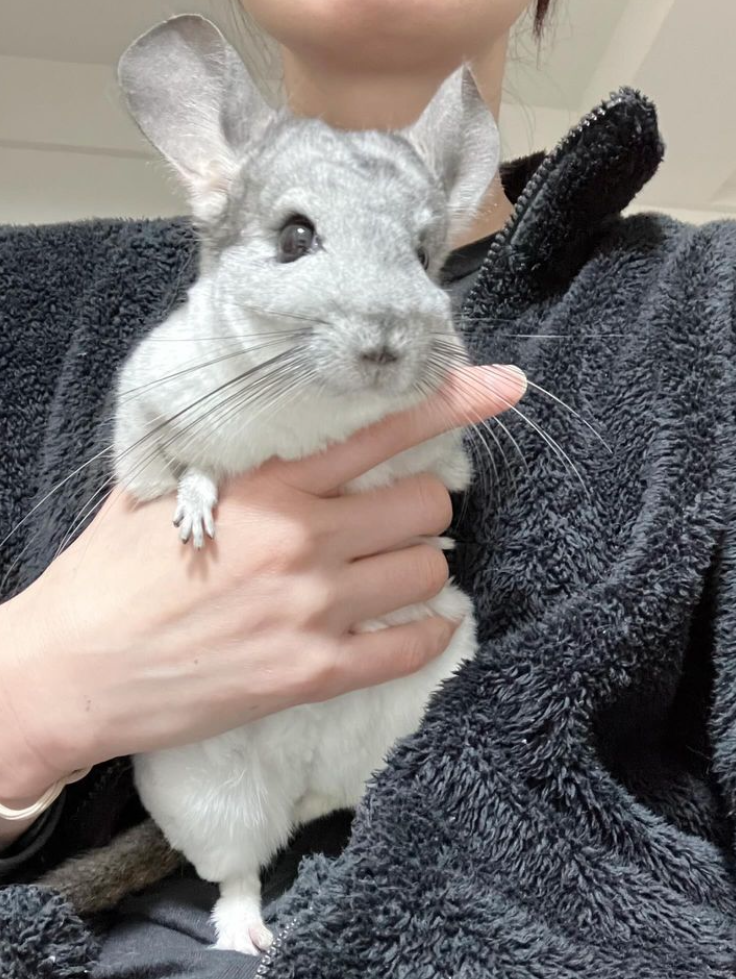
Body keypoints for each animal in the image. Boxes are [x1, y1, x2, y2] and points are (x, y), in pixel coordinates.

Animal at [113, 14, 499, 955]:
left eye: (425, 257)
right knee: (237, 873)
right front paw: (195, 515)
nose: (387, 342)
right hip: (211, 799)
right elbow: (175, 468)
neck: (317, 410)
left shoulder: (441, 451)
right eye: (294, 236)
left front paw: (434, 529)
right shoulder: (147, 399)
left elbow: (439, 476)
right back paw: (254, 936)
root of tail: (303, 781)